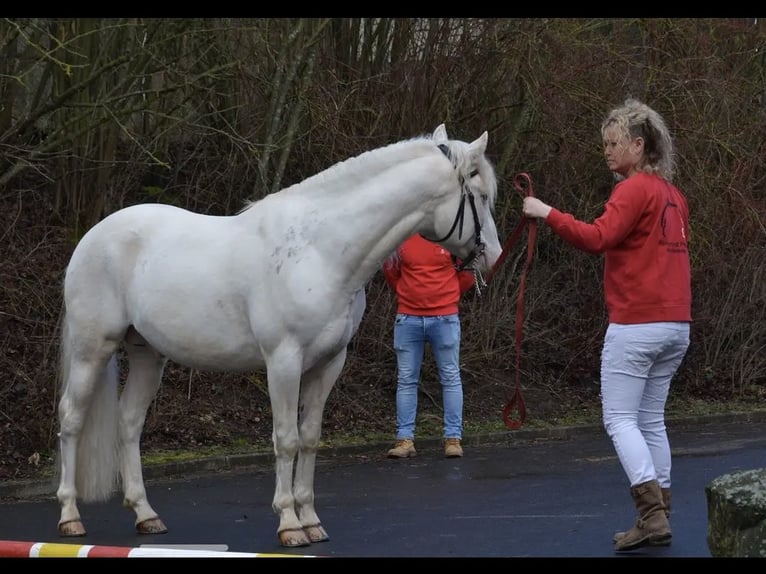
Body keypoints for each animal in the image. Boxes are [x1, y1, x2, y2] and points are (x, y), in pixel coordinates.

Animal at [57, 125, 508, 548]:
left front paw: (312, 521)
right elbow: (286, 439)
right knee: (71, 418)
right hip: (92, 349)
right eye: (481, 195)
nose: (494, 256)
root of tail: (93, 235)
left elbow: (309, 439)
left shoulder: (329, 363)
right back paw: (70, 516)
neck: (321, 250)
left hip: (148, 354)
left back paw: (146, 515)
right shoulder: (284, 361)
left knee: (129, 422)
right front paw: (290, 525)